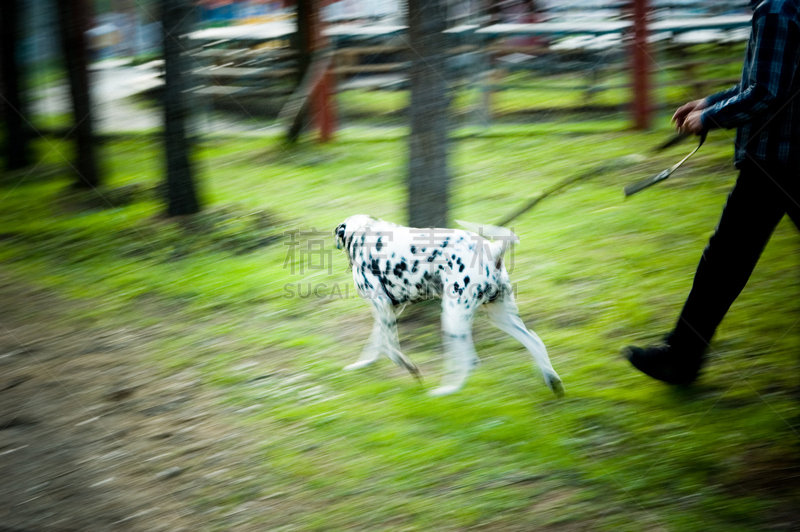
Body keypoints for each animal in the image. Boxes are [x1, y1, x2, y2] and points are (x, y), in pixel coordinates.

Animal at [334, 214, 564, 396]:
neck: (364, 234)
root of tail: (493, 249)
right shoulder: (389, 309)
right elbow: (376, 342)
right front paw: (362, 363)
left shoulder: (382, 305)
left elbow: (389, 347)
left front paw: (408, 367)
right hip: (501, 317)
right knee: (535, 341)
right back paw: (553, 381)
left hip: (453, 317)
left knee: (470, 362)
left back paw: (446, 391)